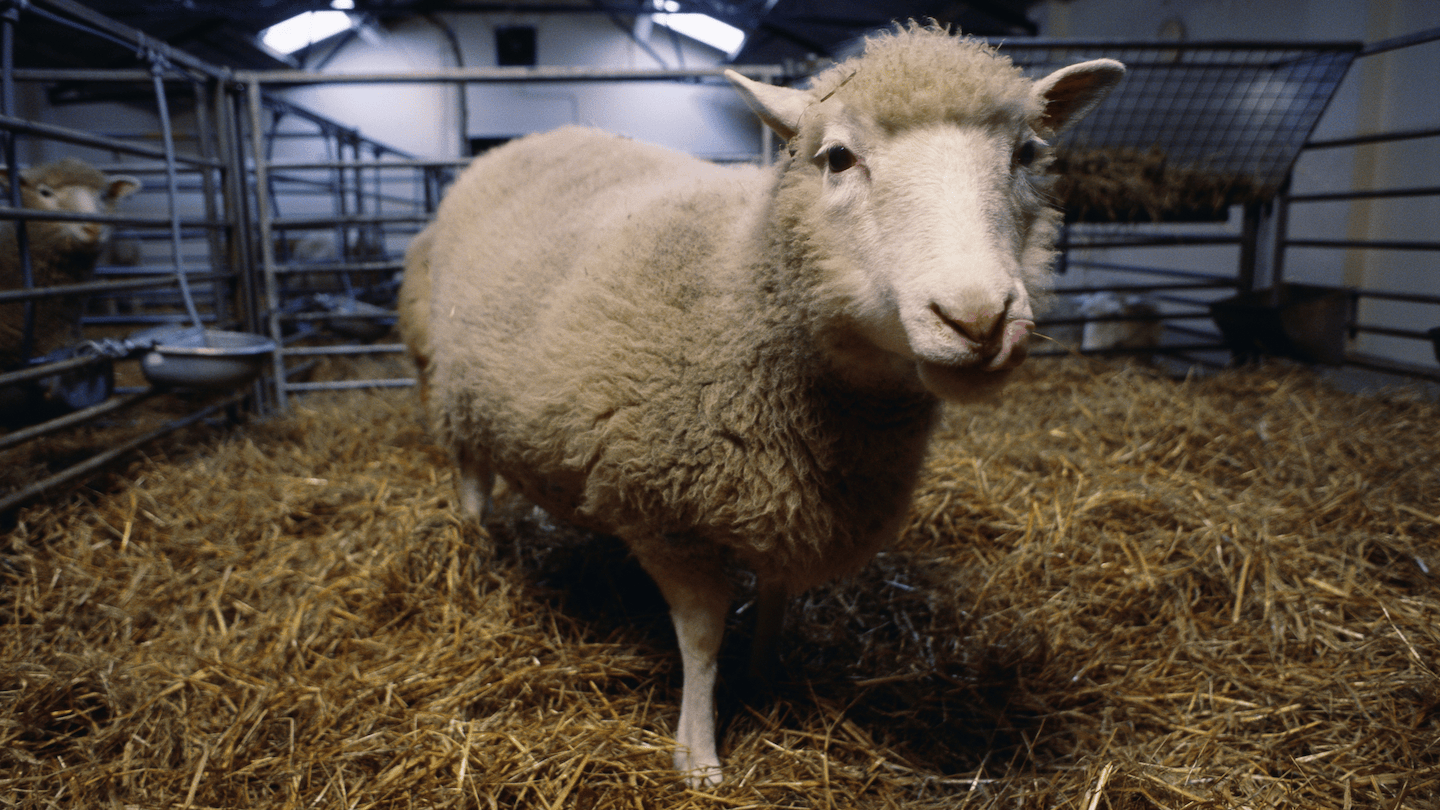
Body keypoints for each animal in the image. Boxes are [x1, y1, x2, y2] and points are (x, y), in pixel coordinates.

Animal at [400, 24, 1123, 787]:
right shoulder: (669, 518)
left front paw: (765, 678)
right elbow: (701, 636)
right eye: (837, 158)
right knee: (471, 481)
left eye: (1026, 155)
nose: (979, 319)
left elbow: (777, 595)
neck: (738, 286)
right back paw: (477, 552)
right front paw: (698, 755)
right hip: (443, 379)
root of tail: (524, 141)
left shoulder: (794, 504)